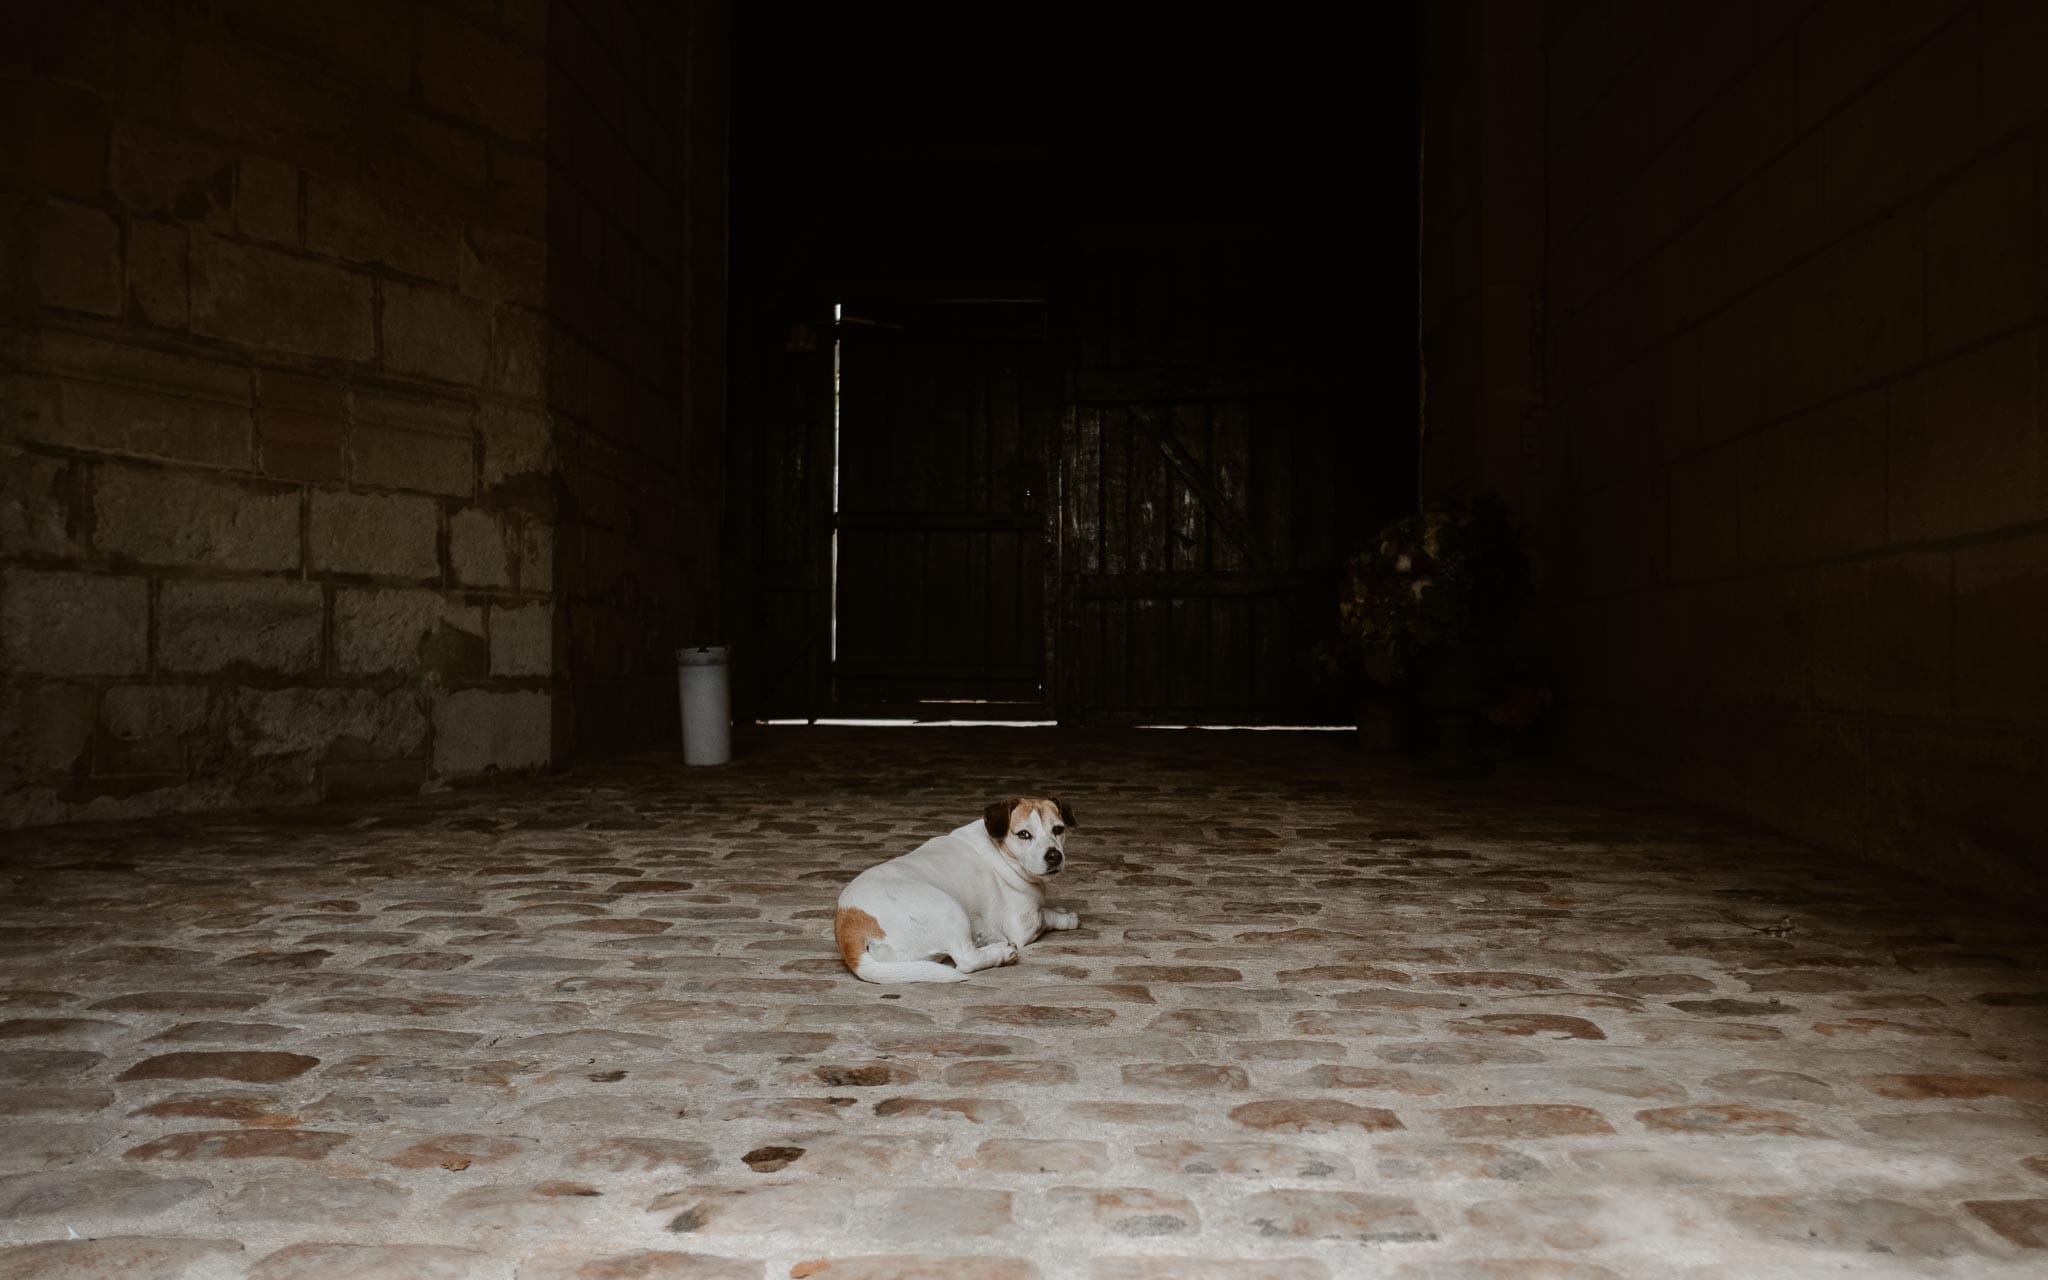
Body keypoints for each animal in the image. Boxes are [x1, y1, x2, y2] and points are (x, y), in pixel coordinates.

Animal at [835, 794, 1089, 983]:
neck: (1002, 852)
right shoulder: (1023, 925)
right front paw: (1067, 918)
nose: (1054, 856)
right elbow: (1046, 915)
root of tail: (849, 926)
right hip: (950, 908)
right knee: (966, 961)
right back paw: (1001, 953)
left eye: (1058, 830)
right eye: (1024, 834)